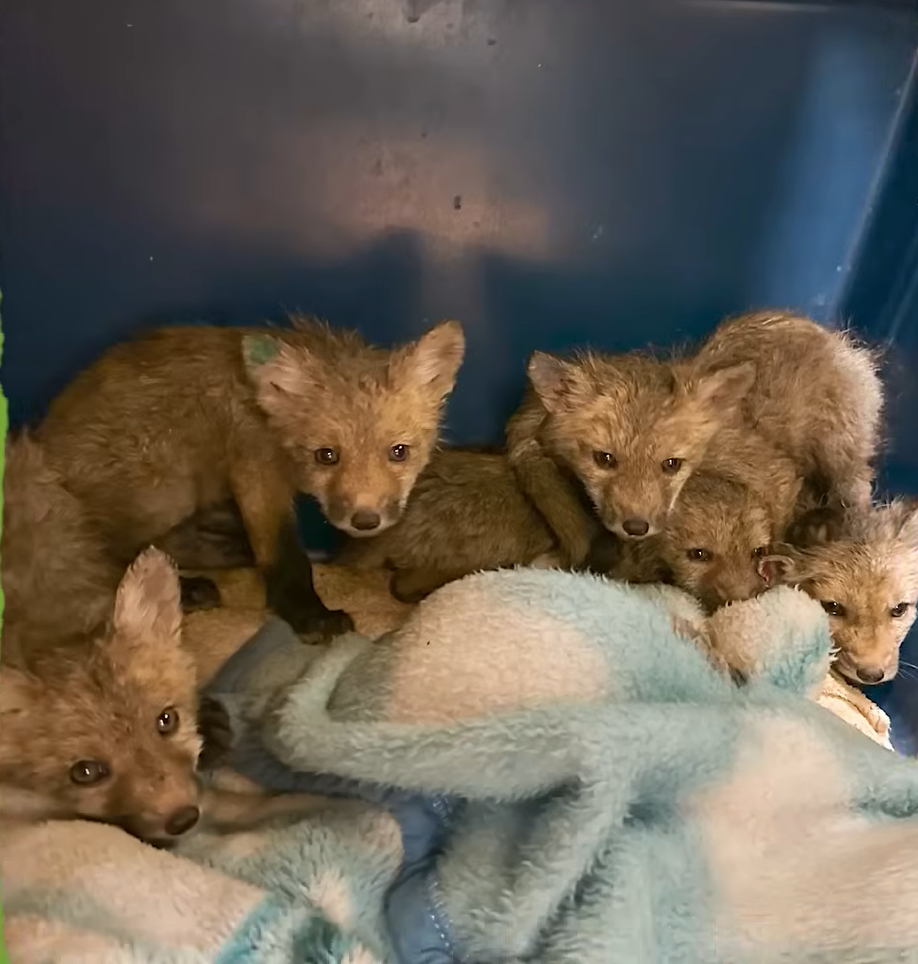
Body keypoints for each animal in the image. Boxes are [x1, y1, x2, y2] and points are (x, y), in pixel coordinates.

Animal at [38, 316, 465, 635]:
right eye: (326, 456)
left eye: (399, 452)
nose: (365, 521)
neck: (266, 415)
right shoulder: (256, 469)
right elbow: (285, 555)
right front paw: (309, 615)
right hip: (164, 493)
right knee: (107, 558)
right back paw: (186, 587)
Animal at [508, 309, 882, 558]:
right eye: (605, 459)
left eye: (671, 464)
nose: (636, 527)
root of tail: (832, 337)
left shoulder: (777, 475)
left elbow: (774, 531)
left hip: (839, 450)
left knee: (858, 485)